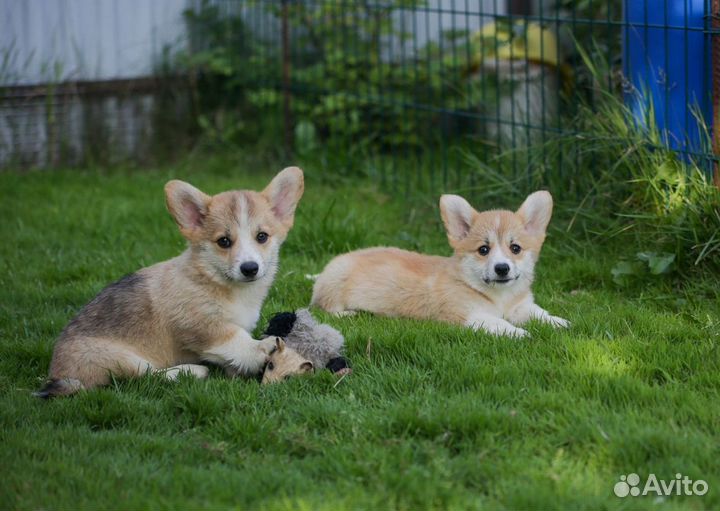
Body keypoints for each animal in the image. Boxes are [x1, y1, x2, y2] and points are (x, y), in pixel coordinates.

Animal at [35, 166, 304, 398]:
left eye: (262, 237)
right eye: (224, 241)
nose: (249, 268)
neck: (217, 281)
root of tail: (58, 373)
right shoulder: (199, 324)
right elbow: (234, 337)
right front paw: (262, 347)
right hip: (118, 358)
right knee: (145, 376)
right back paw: (191, 371)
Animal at [312, 190, 572, 338]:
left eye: (515, 248)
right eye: (483, 250)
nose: (502, 268)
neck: (499, 296)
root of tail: (321, 274)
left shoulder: (521, 306)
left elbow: (539, 313)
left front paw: (559, 323)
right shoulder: (467, 315)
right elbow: (497, 322)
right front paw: (519, 333)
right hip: (336, 282)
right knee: (323, 306)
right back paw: (349, 314)